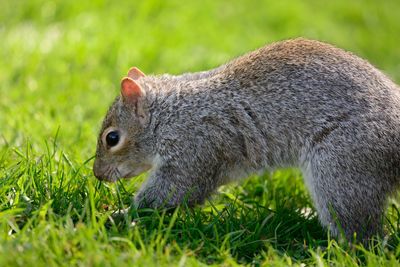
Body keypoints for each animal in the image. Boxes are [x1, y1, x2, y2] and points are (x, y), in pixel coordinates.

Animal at [92, 38, 400, 242]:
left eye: (112, 138)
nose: (98, 174)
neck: (171, 113)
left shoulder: (195, 146)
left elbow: (175, 191)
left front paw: (116, 215)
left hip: (342, 168)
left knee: (363, 236)